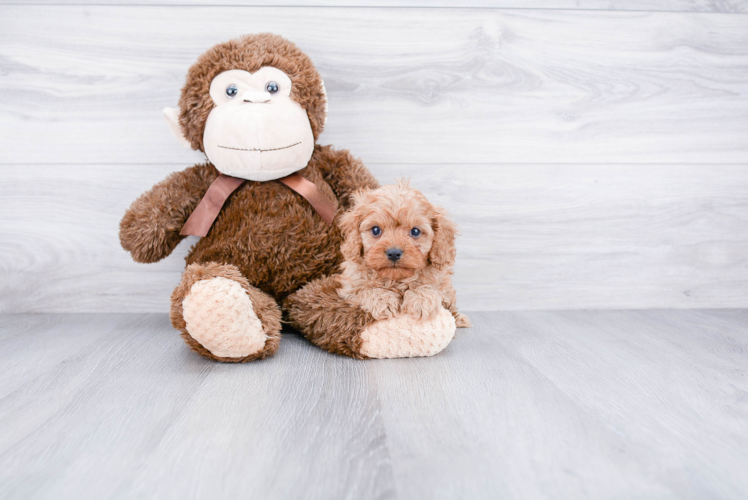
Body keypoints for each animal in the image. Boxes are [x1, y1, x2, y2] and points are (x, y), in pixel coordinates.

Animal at [338, 180, 470, 328]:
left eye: (415, 231)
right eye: (375, 230)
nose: (394, 253)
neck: (396, 279)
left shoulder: (443, 287)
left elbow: (431, 287)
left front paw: (420, 300)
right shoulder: (350, 289)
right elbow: (365, 290)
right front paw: (383, 300)